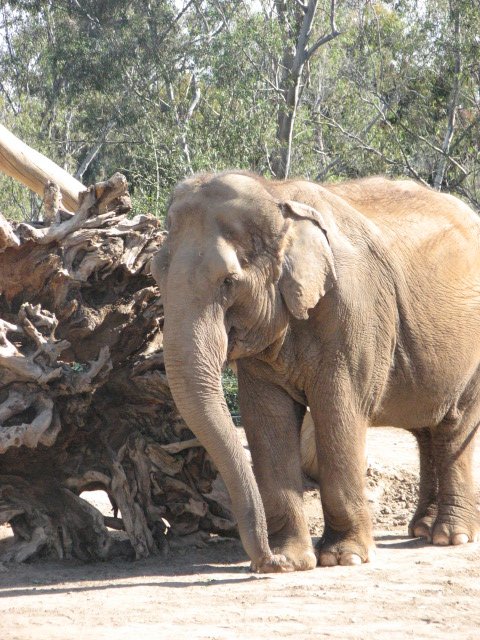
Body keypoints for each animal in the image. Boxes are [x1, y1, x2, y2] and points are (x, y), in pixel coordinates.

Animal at [152, 170, 480, 573]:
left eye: (229, 281)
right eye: (155, 273)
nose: (268, 561)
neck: (276, 196)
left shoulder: (354, 312)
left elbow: (337, 409)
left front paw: (343, 558)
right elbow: (266, 418)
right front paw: (294, 560)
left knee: (454, 425)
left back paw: (450, 537)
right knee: (426, 430)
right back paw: (422, 529)